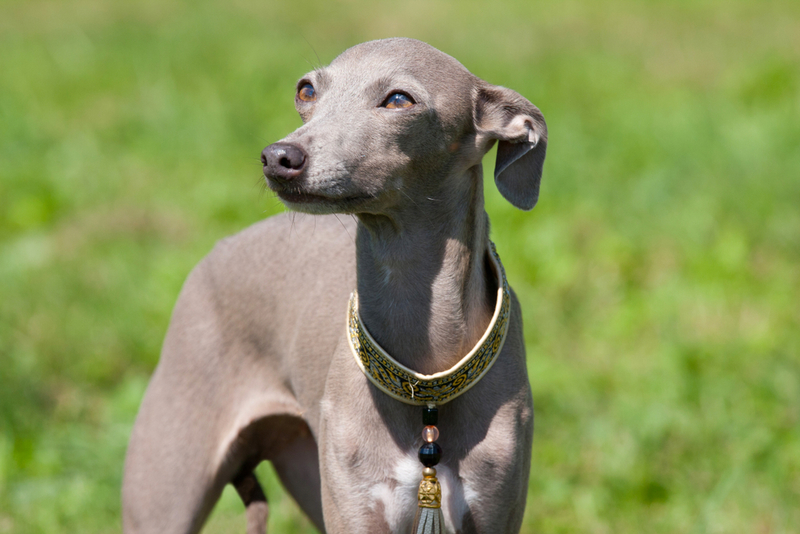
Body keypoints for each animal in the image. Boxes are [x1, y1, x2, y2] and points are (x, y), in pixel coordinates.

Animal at [122, 38, 548, 534]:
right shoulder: (355, 511)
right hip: (171, 489)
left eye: (399, 99)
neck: (425, 382)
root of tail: (218, 249)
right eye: (306, 89)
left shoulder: (495, 508)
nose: (279, 157)